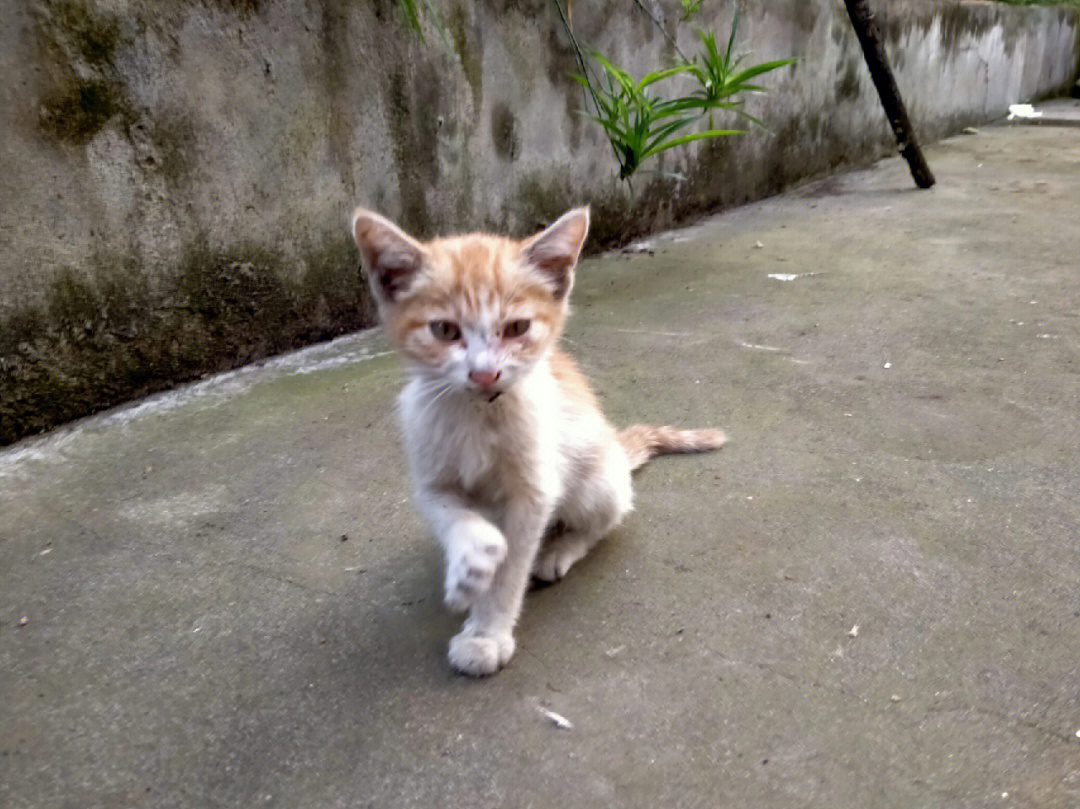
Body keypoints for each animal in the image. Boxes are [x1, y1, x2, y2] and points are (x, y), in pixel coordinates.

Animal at [352, 205, 725, 673]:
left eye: (516, 327)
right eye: (444, 331)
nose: (484, 374)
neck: (480, 413)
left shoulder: (534, 489)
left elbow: (513, 565)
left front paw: (487, 633)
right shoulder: (431, 469)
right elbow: (453, 515)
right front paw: (470, 564)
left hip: (597, 479)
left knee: (606, 519)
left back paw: (560, 549)